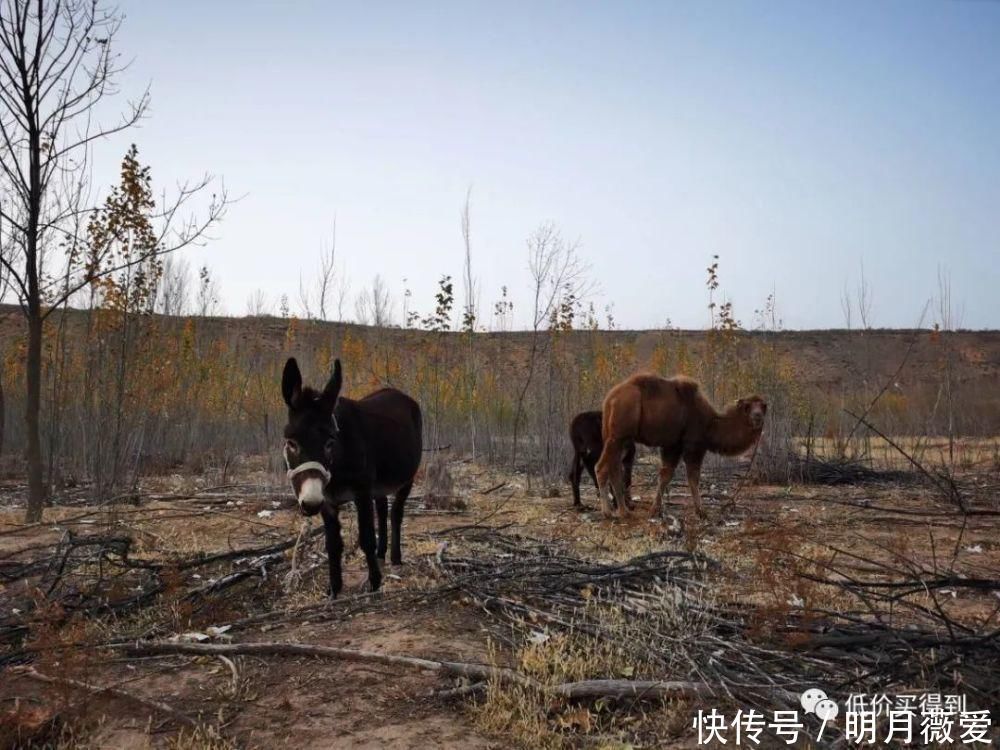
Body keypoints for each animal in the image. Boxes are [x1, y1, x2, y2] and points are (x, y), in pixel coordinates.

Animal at [282, 358, 422, 600]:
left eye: (330, 442)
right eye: (291, 443)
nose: (310, 504)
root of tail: (399, 393)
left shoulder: (361, 493)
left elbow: (365, 537)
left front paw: (374, 583)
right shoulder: (327, 501)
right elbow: (333, 545)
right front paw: (333, 589)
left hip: (407, 478)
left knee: (396, 513)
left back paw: (395, 558)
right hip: (379, 485)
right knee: (382, 509)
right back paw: (381, 554)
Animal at [592, 376, 764, 524]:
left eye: (764, 406)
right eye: (747, 407)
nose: (757, 416)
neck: (710, 424)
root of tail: (610, 399)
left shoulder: (672, 445)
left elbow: (665, 475)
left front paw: (654, 511)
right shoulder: (694, 445)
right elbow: (693, 477)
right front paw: (701, 512)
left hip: (619, 436)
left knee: (614, 468)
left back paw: (624, 512)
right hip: (618, 434)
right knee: (601, 467)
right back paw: (607, 513)